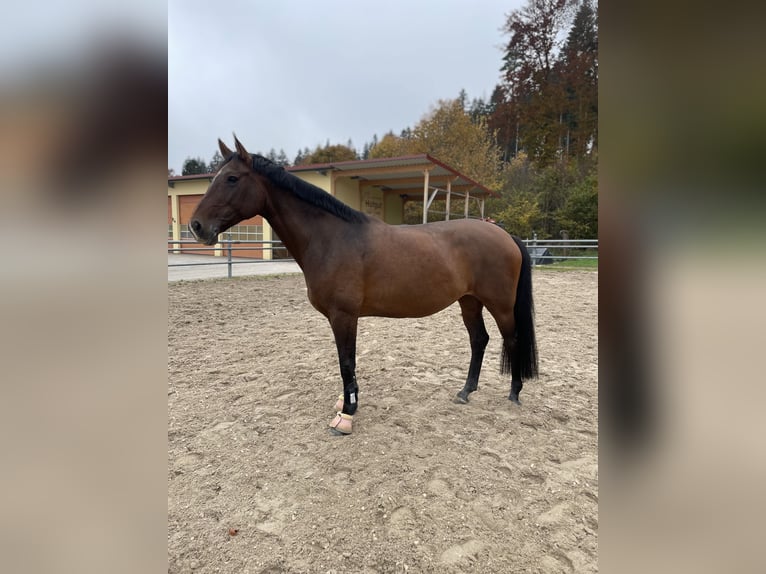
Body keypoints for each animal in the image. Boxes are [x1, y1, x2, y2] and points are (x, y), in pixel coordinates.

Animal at [189, 137, 538, 435]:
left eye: (232, 178)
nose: (196, 226)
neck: (331, 238)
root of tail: (505, 235)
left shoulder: (343, 315)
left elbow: (347, 362)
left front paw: (346, 414)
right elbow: (346, 362)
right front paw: (344, 403)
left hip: (500, 305)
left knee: (512, 339)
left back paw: (514, 393)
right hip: (469, 301)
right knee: (479, 340)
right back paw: (465, 391)